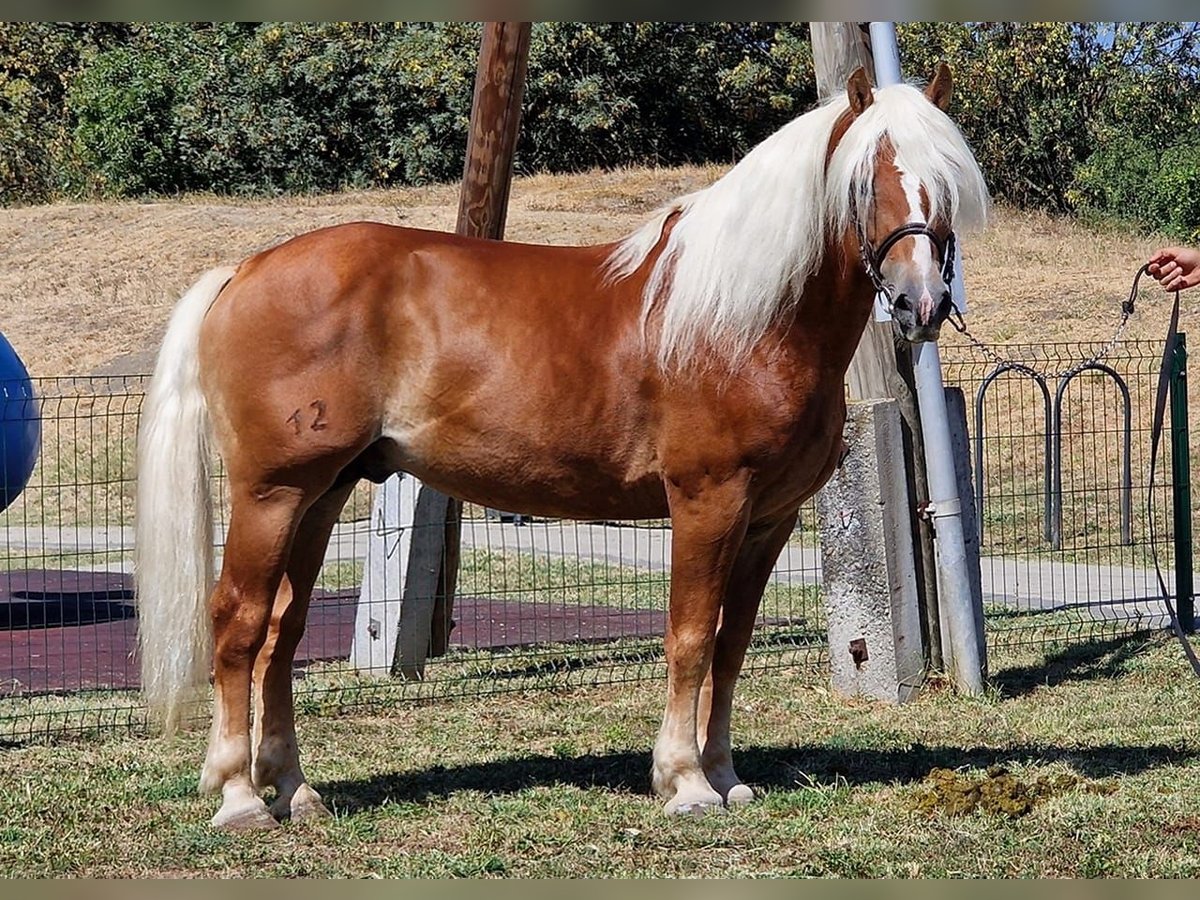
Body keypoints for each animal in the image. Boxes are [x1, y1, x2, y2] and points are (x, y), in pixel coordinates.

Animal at [136, 68, 988, 830]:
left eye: (945, 181)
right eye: (867, 180)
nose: (920, 304)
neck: (741, 318)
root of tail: (244, 271)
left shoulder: (768, 520)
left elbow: (730, 645)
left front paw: (725, 775)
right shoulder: (708, 500)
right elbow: (689, 637)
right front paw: (685, 783)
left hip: (322, 495)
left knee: (281, 635)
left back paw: (293, 791)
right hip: (271, 494)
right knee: (239, 625)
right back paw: (240, 798)